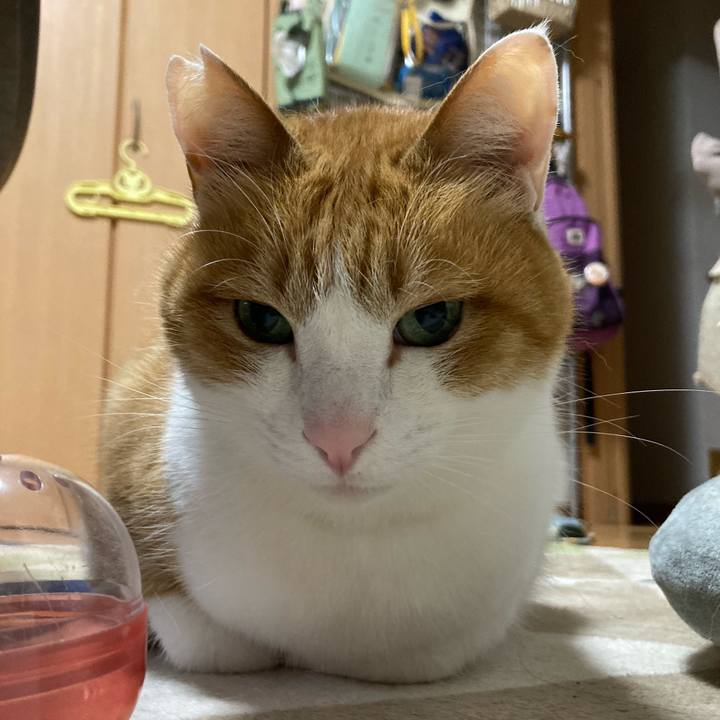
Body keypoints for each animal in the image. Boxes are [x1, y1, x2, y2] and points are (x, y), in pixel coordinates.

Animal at [99, 26, 572, 683]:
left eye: (432, 319)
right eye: (261, 319)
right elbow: (208, 639)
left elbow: (431, 653)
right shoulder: (130, 422)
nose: (338, 441)